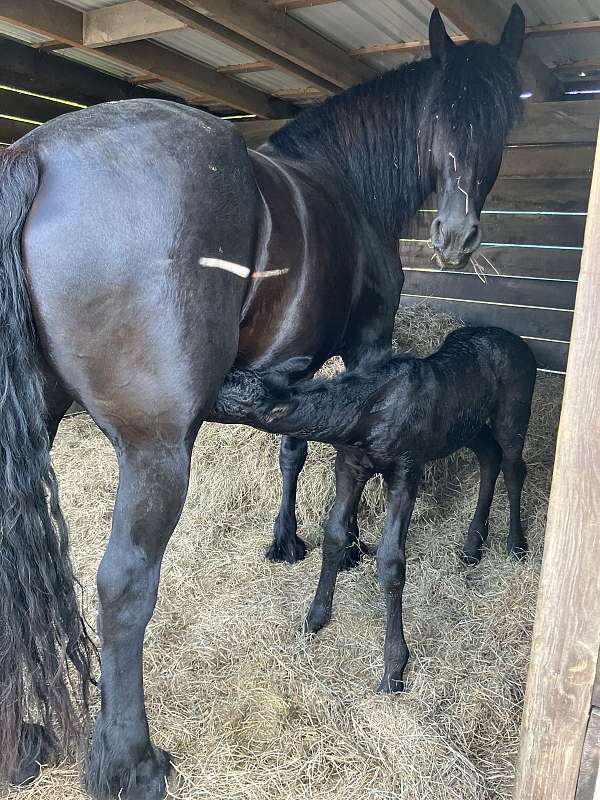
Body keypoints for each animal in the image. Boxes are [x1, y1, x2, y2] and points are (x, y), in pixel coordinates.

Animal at [213, 328, 536, 692]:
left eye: (232, 391)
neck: (360, 422)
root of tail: (522, 346)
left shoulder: (407, 469)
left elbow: (391, 561)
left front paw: (394, 668)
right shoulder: (349, 464)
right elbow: (334, 536)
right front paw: (314, 618)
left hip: (513, 412)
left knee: (513, 465)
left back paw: (515, 545)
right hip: (468, 426)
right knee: (489, 456)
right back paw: (472, 545)